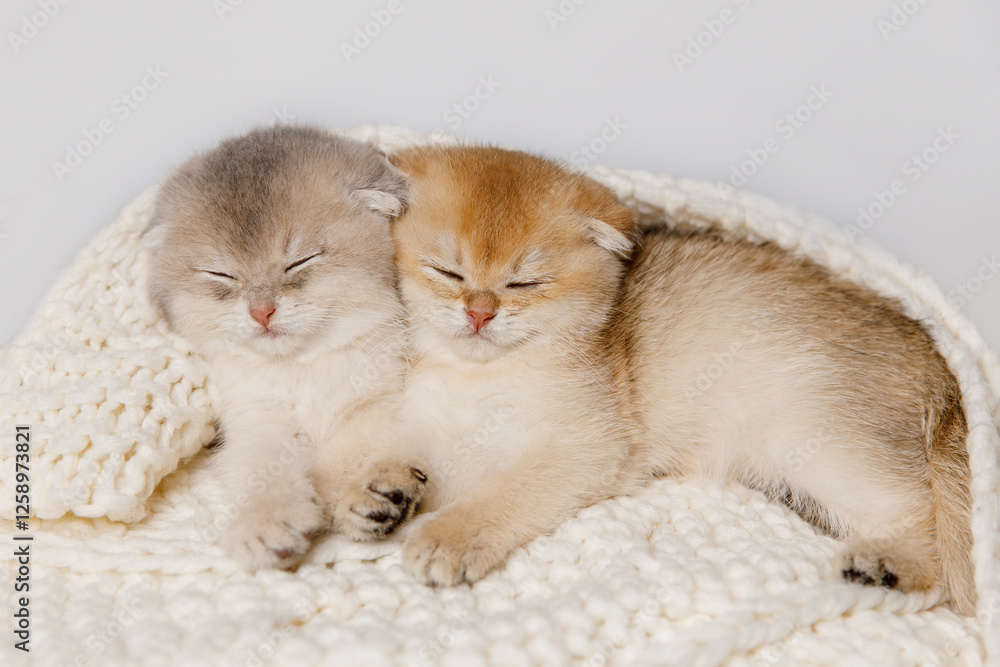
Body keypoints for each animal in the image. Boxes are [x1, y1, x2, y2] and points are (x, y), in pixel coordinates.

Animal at [144, 125, 412, 570]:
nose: (262, 312)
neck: (301, 366)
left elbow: (348, 457)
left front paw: (363, 497)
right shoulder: (256, 421)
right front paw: (266, 524)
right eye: (221, 274)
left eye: (300, 261)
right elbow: (264, 469)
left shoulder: (376, 405)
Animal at [338, 144, 975, 615]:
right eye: (446, 271)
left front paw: (450, 536)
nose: (479, 313)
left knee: (928, 520)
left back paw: (889, 566)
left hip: (818, 437)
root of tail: (935, 362)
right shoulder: (431, 427)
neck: (476, 377)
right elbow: (402, 453)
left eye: (525, 283)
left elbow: (502, 494)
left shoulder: (581, 448)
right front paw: (377, 494)